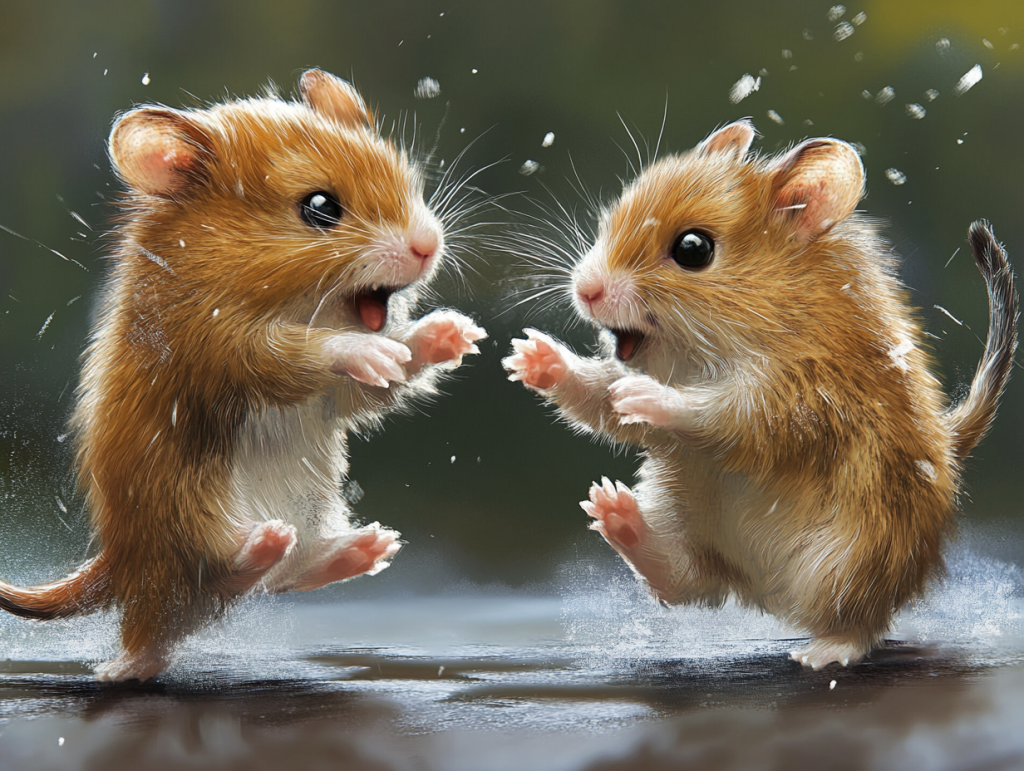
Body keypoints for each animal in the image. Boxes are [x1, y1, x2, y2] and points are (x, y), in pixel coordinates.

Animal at [0, 69, 486, 682]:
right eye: (320, 207)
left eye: (410, 181)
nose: (428, 248)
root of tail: (118, 561)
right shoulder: (218, 345)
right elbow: (301, 351)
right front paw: (374, 351)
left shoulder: (329, 397)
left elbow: (378, 376)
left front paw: (453, 333)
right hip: (183, 519)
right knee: (178, 611)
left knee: (276, 579)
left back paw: (367, 547)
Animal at [504, 120, 1018, 668]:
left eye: (693, 250)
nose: (587, 291)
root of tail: (766, 593)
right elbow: (599, 398)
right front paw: (534, 358)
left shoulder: (798, 397)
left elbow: (715, 413)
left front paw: (648, 395)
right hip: (684, 514)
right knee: (685, 582)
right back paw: (615, 512)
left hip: (853, 558)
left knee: (859, 620)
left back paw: (823, 652)